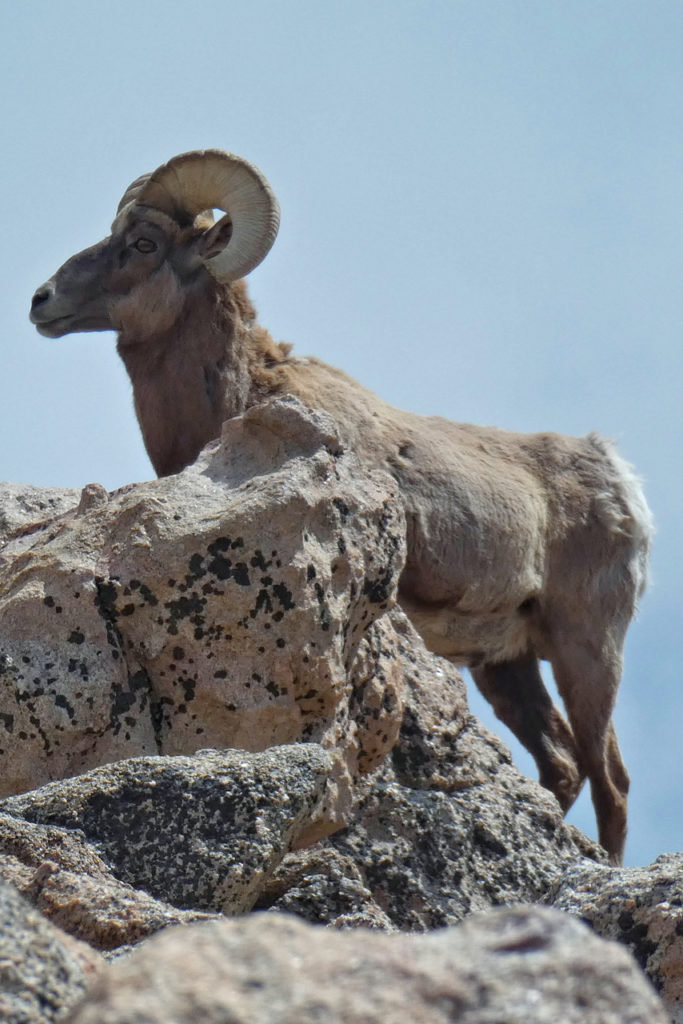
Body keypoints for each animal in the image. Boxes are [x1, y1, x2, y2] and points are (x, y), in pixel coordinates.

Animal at [30, 148, 651, 860]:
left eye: (143, 243)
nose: (42, 301)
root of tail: (618, 478)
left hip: (587, 650)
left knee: (611, 780)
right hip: (507, 663)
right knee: (563, 766)